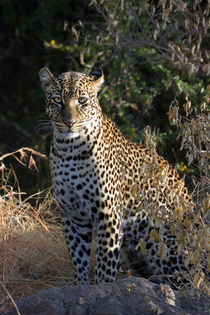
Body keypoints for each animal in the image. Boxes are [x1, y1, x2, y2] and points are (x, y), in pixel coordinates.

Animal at [39, 66, 197, 286]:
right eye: (57, 100)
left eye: (82, 100)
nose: (69, 122)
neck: (68, 149)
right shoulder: (73, 215)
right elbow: (78, 258)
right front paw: (80, 286)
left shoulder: (109, 214)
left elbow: (104, 264)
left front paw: (101, 288)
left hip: (163, 242)